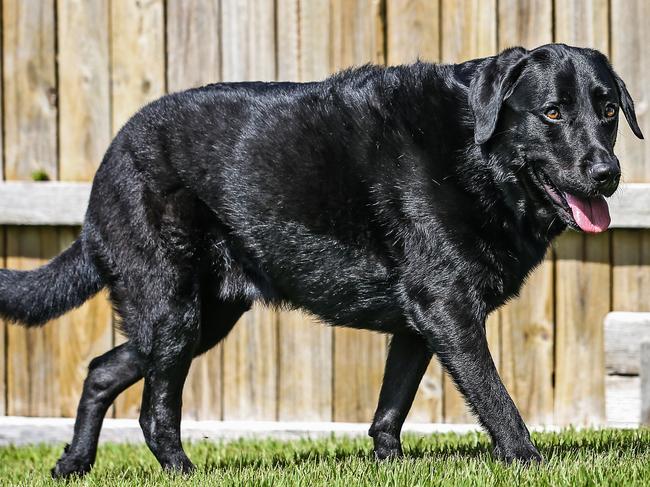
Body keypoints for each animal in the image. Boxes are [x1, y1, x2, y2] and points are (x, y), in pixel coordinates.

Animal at [0, 42, 636, 476]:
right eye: (551, 112)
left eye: (608, 110)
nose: (607, 174)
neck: (474, 156)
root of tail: (102, 172)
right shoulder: (448, 310)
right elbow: (495, 399)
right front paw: (529, 462)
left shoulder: (419, 323)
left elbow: (391, 406)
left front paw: (390, 467)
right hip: (174, 314)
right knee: (155, 413)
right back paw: (181, 472)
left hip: (197, 319)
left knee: (102, 369)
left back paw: (73, 465)